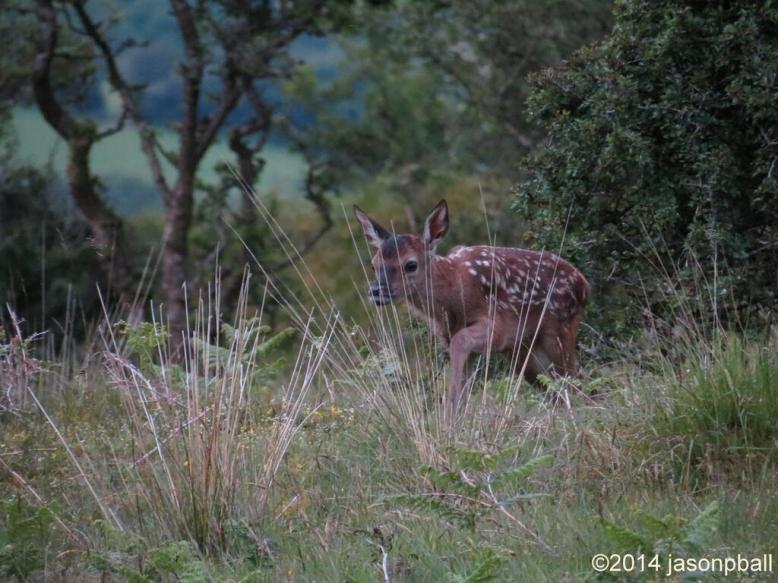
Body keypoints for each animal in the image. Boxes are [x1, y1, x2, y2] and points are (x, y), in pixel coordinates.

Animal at [354, 199, 590, 419]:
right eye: (374, 264)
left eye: (410, 264)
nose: (375, 291)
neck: (455, 294)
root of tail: (584, 285)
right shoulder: (452, 335)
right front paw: (454, 421)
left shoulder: (498, 328)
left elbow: (460, 344)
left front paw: (449, 418)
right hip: (525, 350)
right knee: (560, 387)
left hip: (559, 329)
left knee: (576, 380)